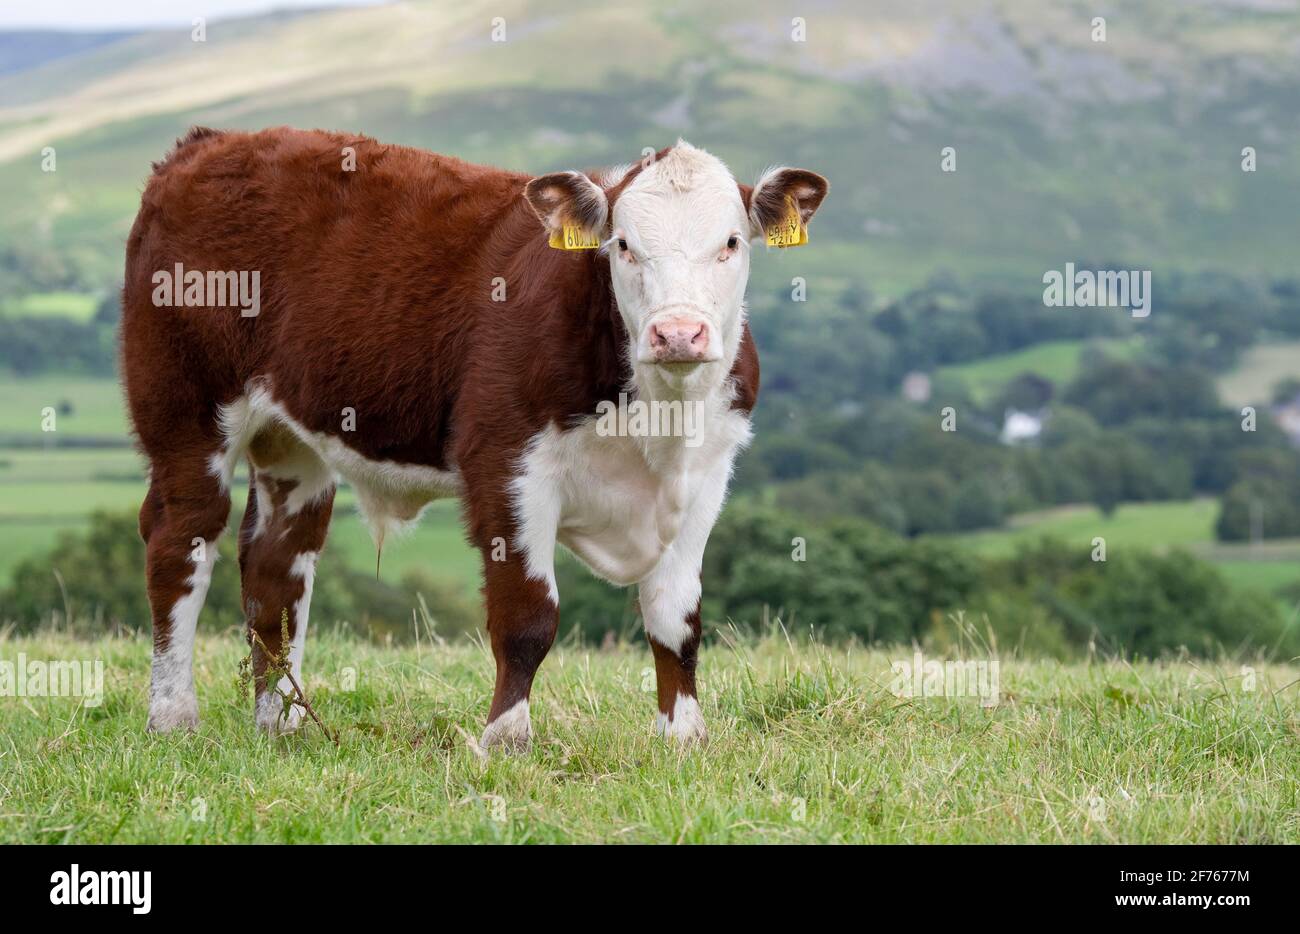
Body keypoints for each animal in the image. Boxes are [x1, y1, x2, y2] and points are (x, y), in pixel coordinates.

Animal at [124, 128, 832, 749]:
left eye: (732, 242)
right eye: (624, 245)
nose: (678, 333)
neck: (658, 416)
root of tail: (211, 142)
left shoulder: (705, 477)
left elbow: (676, 619)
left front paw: (683, 738)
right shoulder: (506, 465)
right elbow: (527, 615)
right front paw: (506, 739)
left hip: (292, 439)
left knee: (277, 564)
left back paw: (281, 724)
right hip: (184, 410)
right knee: (181, 543)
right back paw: (173, 717)